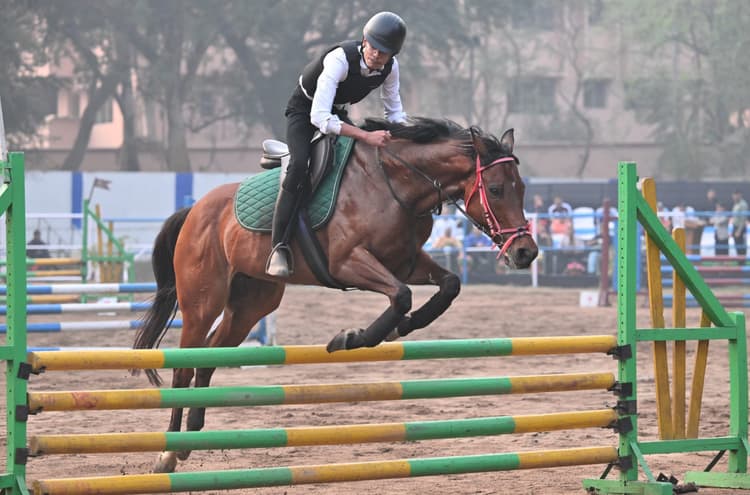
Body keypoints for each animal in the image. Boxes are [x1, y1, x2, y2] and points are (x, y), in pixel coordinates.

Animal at [133, 117, 538, 473]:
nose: (526, 253)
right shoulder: (347, 262)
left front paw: (398, 329)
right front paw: (352, 338)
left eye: (522, 188)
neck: (397, 185)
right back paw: (167, 454)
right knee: (184, 366)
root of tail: (194, 209)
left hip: (251, 303)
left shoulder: (406, 262)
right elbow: (401, 296)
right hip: (203, 302)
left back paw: (188, 442)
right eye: (497, 190)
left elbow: (448, 286)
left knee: (208, 359)